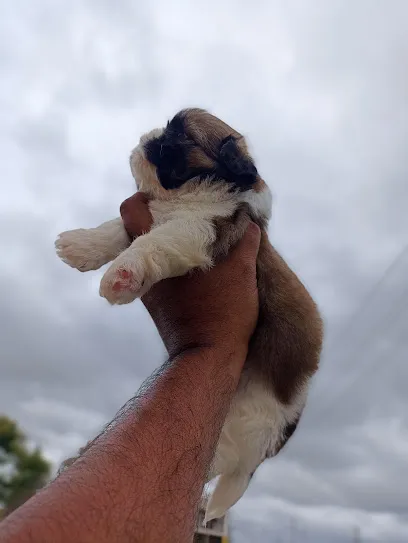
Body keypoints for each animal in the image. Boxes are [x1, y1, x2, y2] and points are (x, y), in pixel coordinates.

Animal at [55, 108, 322, 520]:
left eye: (177, 138)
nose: (146, 138)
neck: (193, 194)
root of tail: (291, 419)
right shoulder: (155, 216)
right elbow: (118, 230)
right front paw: (81, 244)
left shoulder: (200, 229)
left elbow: (154, 242)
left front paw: (124, 273)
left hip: (247, 421)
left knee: (218, 458)